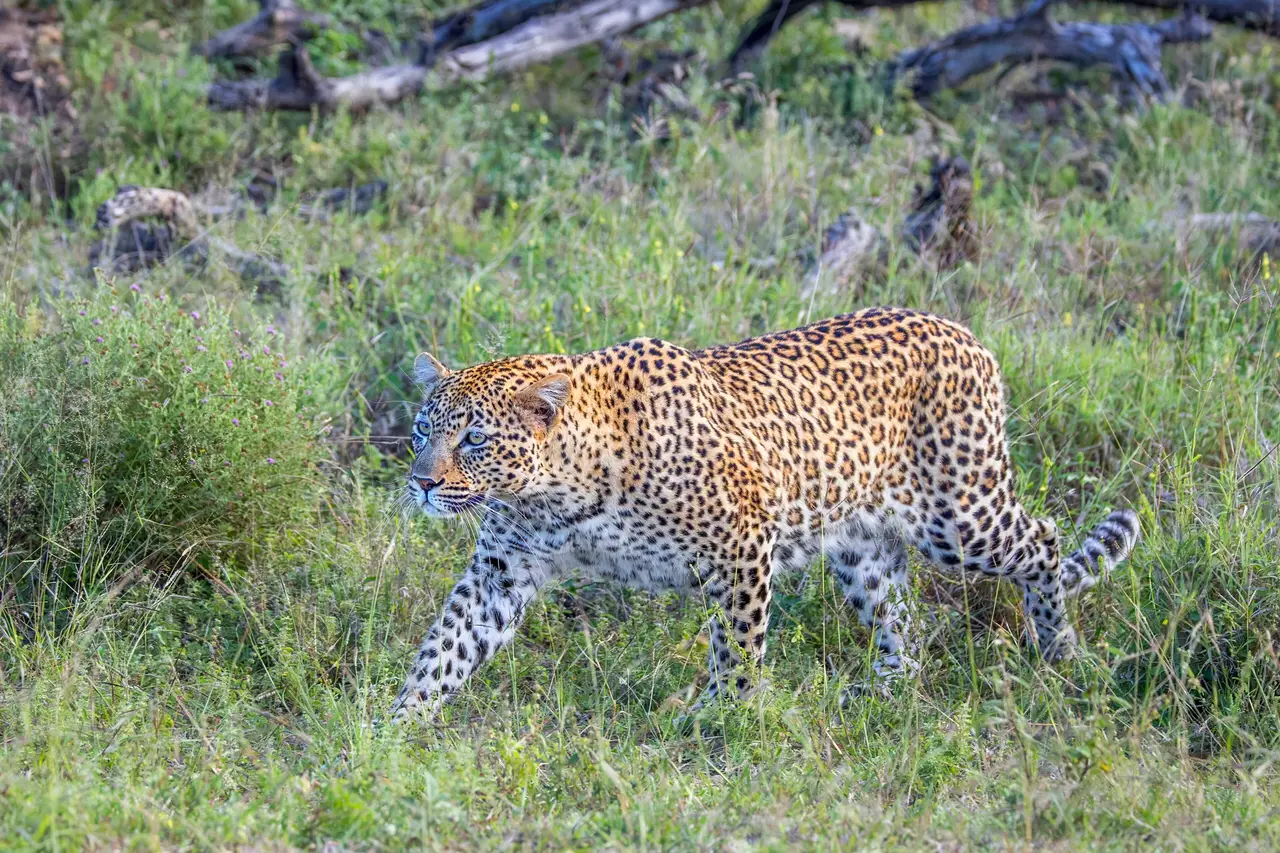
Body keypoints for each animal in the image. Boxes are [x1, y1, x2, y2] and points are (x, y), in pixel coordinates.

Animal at [391, 307, 1139, 721]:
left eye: (474, 439)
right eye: (423, 429)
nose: (422, 482)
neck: (557, 494)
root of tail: (967, 335)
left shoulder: (741, 545)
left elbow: (737, 645)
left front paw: (720, 721)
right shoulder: (502, 571)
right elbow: (446, 647)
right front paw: (395, 727)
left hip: (961, 516)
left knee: (1043, 541)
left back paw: (1061, 650)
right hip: (863, 548)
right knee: (901, 616)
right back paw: (885, 690)